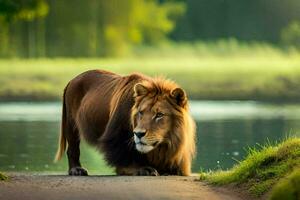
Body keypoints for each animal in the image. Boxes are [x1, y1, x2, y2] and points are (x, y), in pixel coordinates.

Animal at [55, 69, 197, 176]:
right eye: (141, 112)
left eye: (159, 115)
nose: (139, 134)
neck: (163, 146)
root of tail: (72, 80)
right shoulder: (116, 138)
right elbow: (126, 160)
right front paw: (144, 169)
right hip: (71, 124)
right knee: (73, 149)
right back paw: (76, 170)